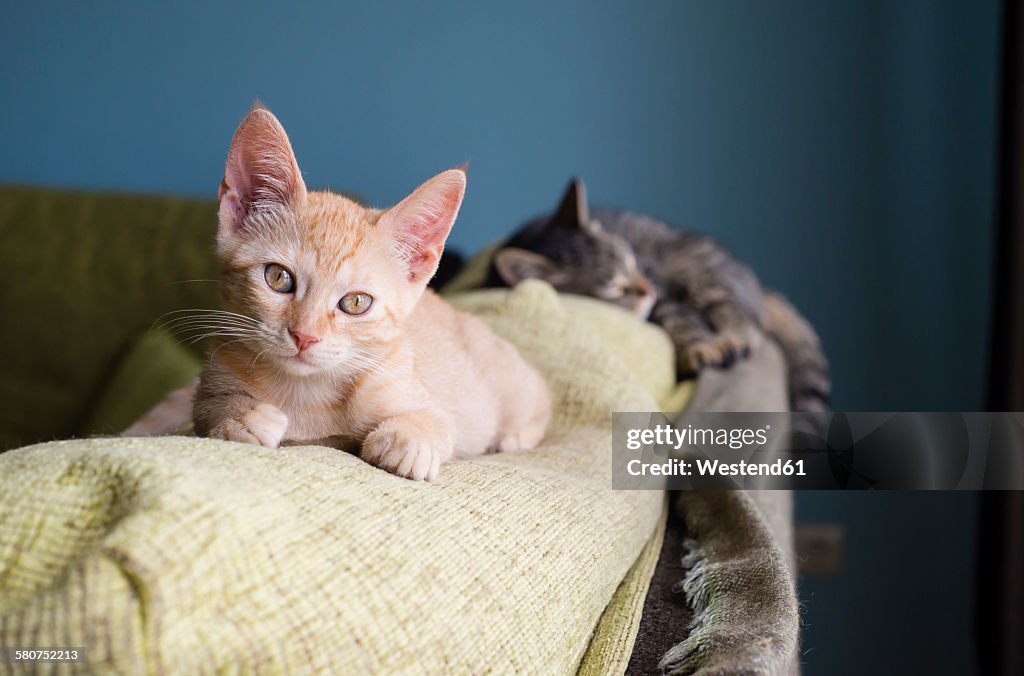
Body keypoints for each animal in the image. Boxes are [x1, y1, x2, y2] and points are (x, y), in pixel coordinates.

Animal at [188, 105, 548, 481]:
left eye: (356, 302)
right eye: (278, 278)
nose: (305, 336)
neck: (306, 392)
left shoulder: (419, 393)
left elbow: (437, 422)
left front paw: (407, 441)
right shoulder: (213, 377)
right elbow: (207, 407)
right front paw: (241, 416)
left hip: (513, 385)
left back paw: (513, 437)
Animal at [487, 179, 831, 411]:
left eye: (630, 259)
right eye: (614, 288)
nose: (647, 289)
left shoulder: (662, 288)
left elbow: (683, 319)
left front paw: (702, 348)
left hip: (701, 270)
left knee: (740, 315)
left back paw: (734, 337)